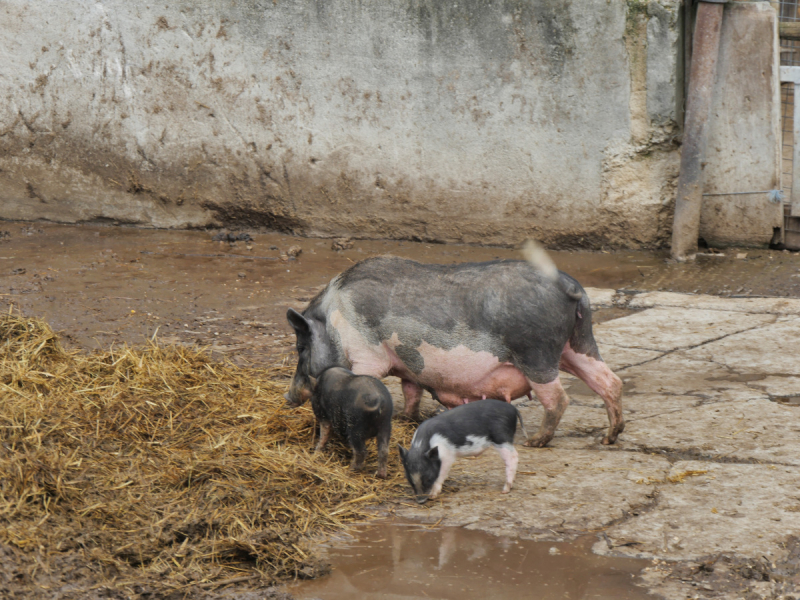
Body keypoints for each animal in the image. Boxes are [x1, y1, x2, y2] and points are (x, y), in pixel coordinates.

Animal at [282, 241, 624, 448]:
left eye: (300, 348)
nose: (288, 396)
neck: (332, 318)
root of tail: (568, 286)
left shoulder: (367, 356)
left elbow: (368, 380)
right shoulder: (409, 365)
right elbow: (411, 390)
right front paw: (406, 418)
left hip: (537, 352)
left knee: (557, 397)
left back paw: (535, 441)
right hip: (577, 343)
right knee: (609, 381)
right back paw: (609, 437)